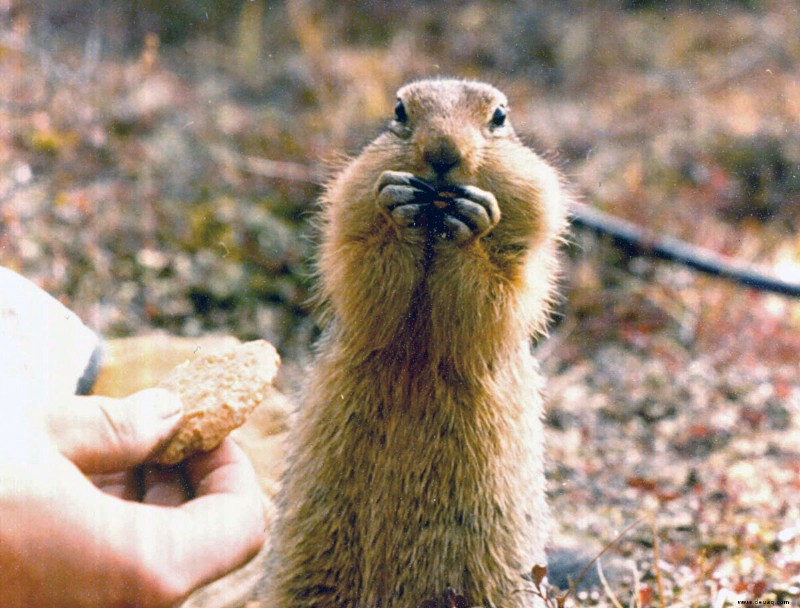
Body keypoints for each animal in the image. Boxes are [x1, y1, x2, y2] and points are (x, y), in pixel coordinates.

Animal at [256, 78, 568, 604]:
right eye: (400, 111)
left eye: (499, 116)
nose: (442, 152)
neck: (433, 227)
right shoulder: (351, 203)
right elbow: (362, 266)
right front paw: (399, 207)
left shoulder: (529, 234)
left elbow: (502, 291)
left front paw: (471, 224)